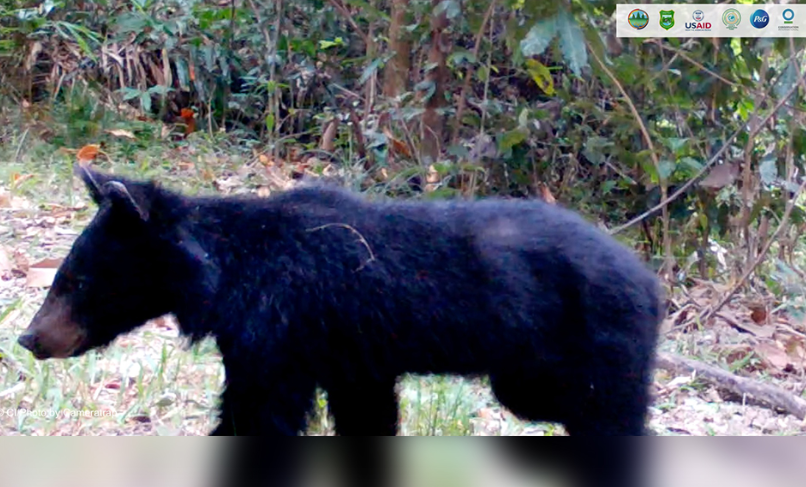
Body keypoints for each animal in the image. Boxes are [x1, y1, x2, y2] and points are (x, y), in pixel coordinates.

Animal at [17, 165, 664, 442]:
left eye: (77, 280)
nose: (29, 338)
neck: (225, 273)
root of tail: (650, 283)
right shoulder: (350, 354)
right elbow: (366, 413)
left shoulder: (280, 332)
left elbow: (259, 412)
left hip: (588, 347)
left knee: (608, 415)